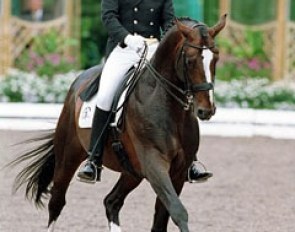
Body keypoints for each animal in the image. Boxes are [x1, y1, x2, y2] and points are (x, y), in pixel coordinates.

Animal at [9, 14, 227, 232]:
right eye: (190, 60)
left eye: (215, 58)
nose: (206, 110)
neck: (167, 106)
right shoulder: (154, 164)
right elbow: (178, 210)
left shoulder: (179, 171)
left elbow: (162, 218)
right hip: (68, 157)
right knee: (57, 202)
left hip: (132, 171)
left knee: (111, 201)